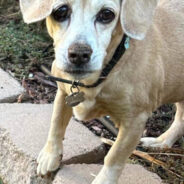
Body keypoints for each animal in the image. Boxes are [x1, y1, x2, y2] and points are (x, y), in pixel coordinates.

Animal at [19, 0, 184, 183]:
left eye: (107, 14)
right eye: (60, 11)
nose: (79, 53)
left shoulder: (135, 122)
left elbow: (114, 156)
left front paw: (104, 180)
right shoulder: (63, 94)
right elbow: (56, 126)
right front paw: (50, 157)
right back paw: (162, 142)